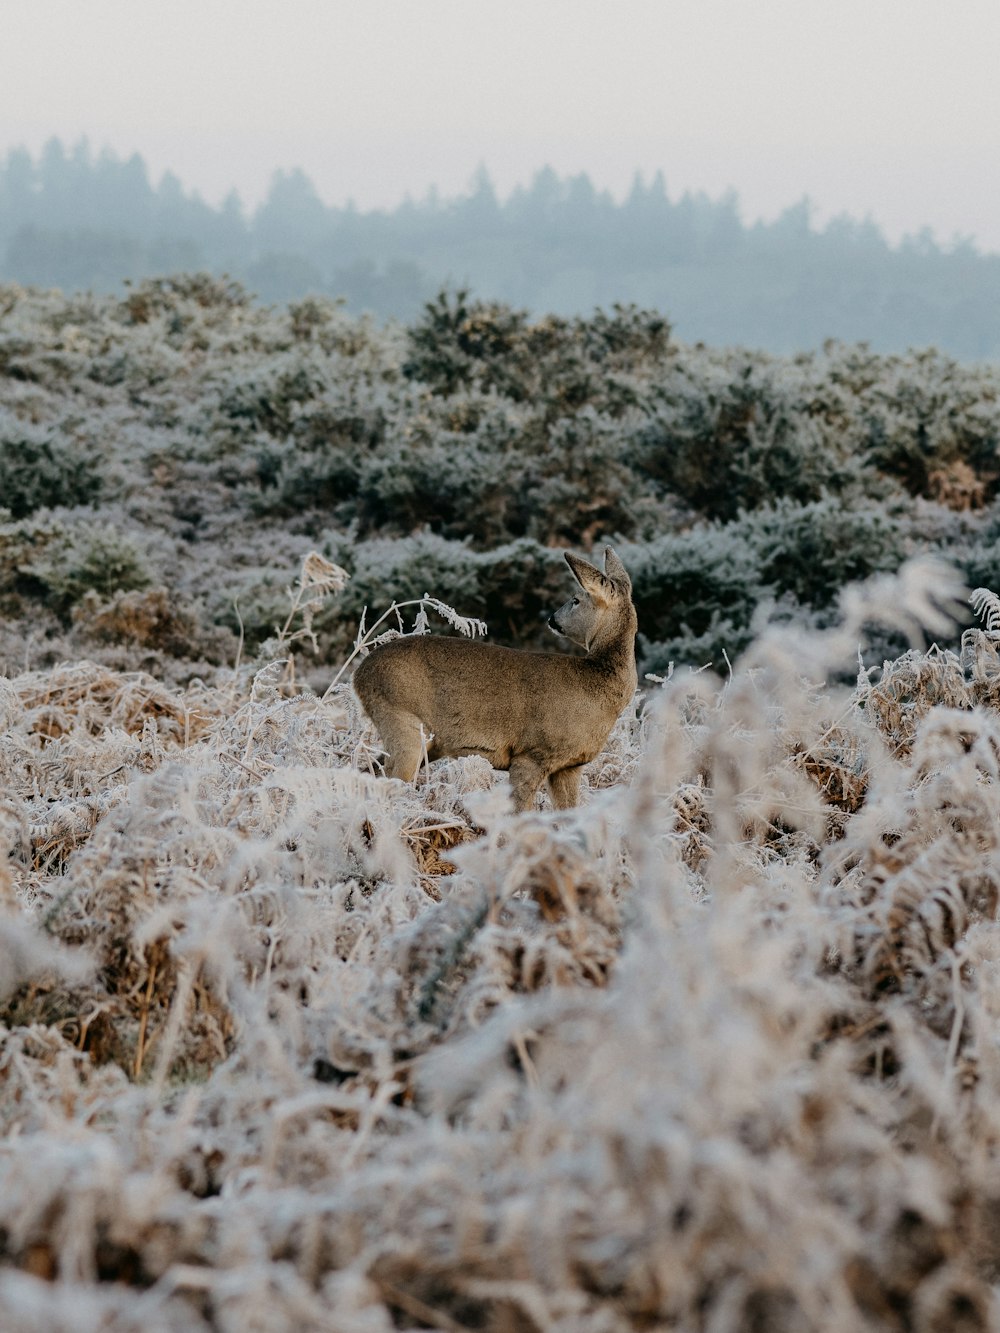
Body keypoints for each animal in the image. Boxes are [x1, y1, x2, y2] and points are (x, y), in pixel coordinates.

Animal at [352, 543, 637, 810]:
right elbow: (521, 811)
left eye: (576, 600)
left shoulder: (570, 766)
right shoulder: (532, 752)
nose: (551, 619)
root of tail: (358, 675)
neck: (597, 684)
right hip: (401, 720)